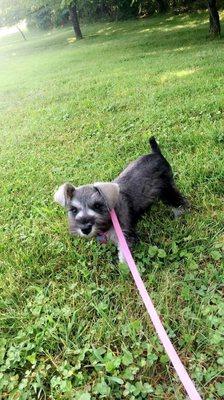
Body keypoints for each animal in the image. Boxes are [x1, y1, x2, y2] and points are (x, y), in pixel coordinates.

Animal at [53, 137, 187, 262]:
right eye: (74, 210)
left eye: (97, 205)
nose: (85, 228)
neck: (110, 217)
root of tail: (156, 153)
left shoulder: (124, 236)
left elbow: (124, 257)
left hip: (167, 188)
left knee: (178, 200)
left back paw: (180, 213)